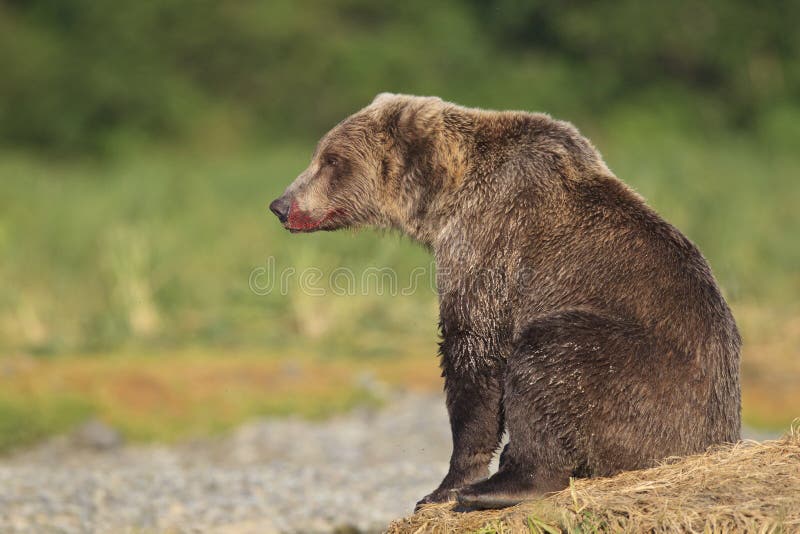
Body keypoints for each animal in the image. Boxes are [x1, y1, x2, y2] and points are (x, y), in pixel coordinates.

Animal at [270, 95, 744, 510]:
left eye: (331, 160)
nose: (280, 203)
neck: (441, 202)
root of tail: (713, 444)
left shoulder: (490, 241)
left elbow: (474, 353)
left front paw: (445, 486)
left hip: (649, 381)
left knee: (553, 355)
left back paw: (500, 486)